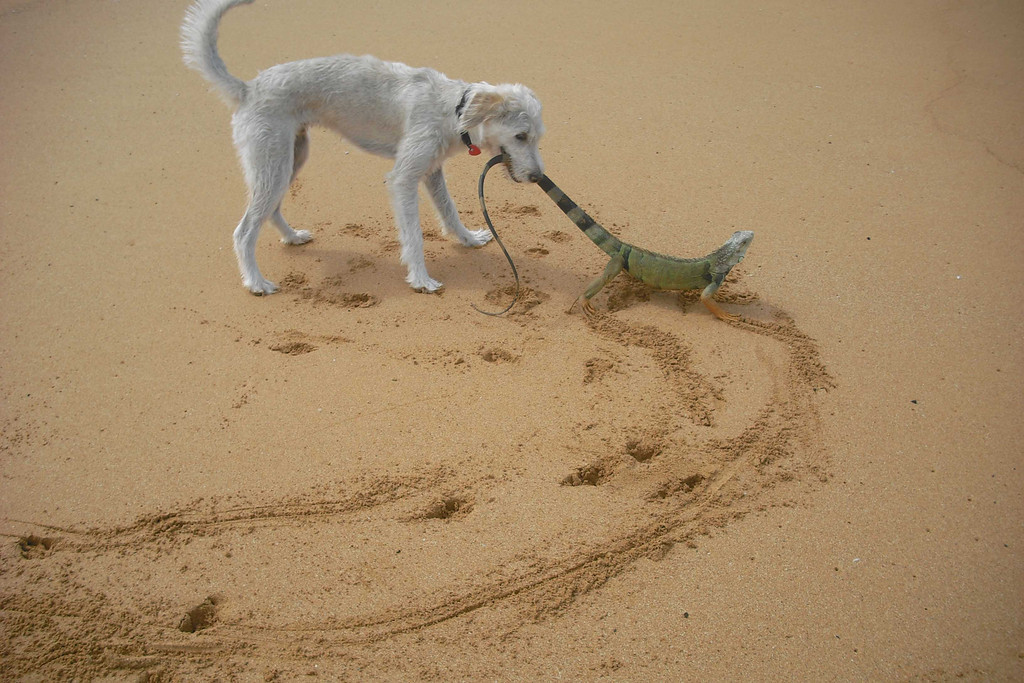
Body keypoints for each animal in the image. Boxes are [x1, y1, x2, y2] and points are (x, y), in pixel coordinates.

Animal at [181, 0, 544, 294]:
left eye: (537, 137)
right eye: (520, 136)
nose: (538, 178)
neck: (453, 108)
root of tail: (247, 89)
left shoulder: (431, 171)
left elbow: (449, 211)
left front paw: (468, 240)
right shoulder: (403, 179)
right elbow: (413, 235)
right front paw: (421, 279)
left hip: (290, 158)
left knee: (269, 211)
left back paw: (293, 237)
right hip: (272, 164)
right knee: (244, 231)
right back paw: (256, 283)